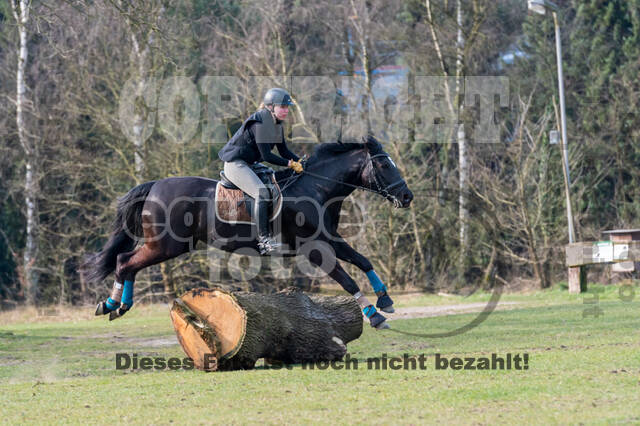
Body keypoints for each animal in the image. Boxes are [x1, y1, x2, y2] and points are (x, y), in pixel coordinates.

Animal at [82, 135, 416, 328]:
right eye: (384, 165)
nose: (407, 196)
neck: (316, 188)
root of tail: (154, 186)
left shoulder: (331, 239)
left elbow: (363, 261)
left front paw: (385, 299)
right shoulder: (314, 249)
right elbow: (346, 280)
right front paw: (374, 315)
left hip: (166, 245)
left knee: (127, 262)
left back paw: (119, 305)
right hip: (167, 245)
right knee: (125, 261)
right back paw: (112, 304)